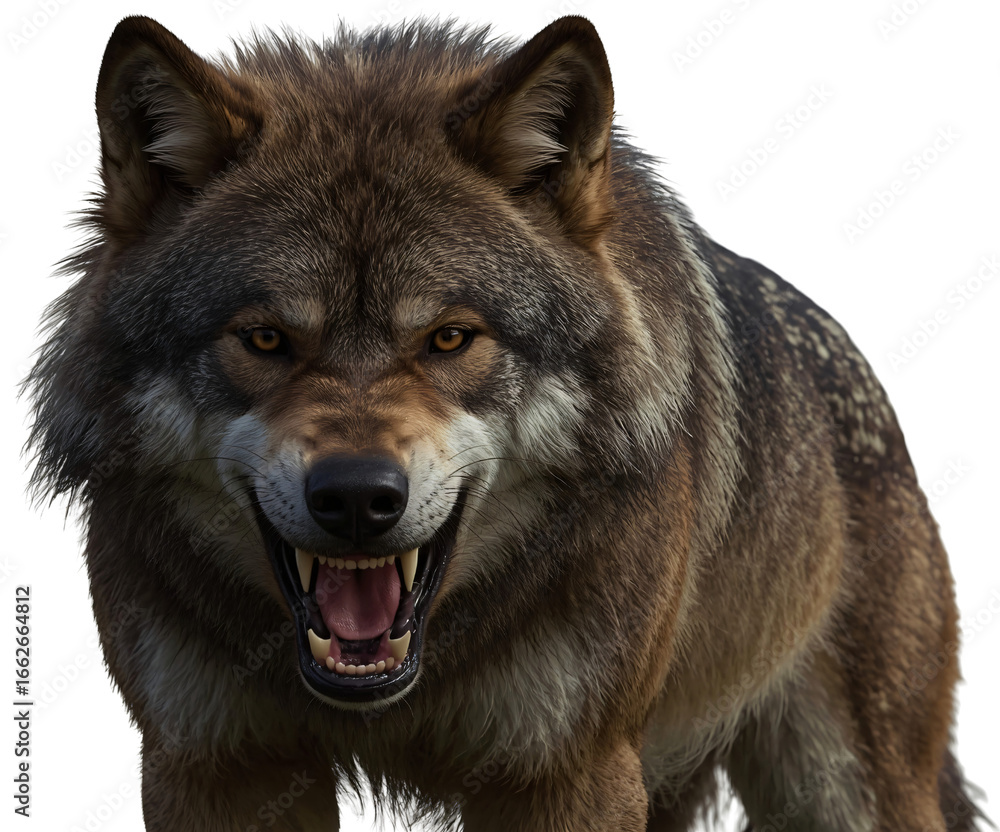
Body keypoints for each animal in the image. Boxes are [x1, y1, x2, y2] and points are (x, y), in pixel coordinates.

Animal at [27, 13, 984, 832]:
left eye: (451, 337)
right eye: (265, 338)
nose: (356, 497)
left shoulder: (568, 772)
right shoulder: (215, 765)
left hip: (841, 788)